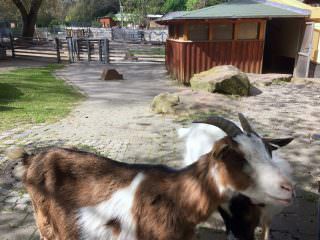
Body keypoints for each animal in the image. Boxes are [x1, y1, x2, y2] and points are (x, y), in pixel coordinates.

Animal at [8, 116, 292, 240]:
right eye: (238, 158)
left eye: (268, 151)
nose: (288, 188)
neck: (177, 199)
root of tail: (31, 159)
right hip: (45, 225)